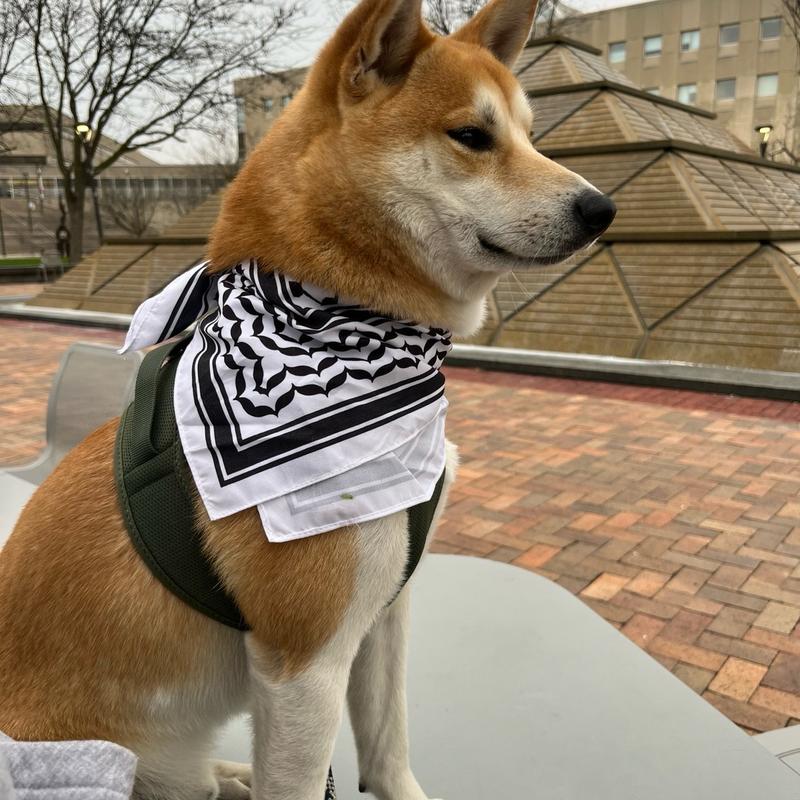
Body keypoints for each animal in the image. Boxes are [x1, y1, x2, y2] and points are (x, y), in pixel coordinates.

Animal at [0, 1, 616, 800]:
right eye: (473, 137)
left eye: (530, 136)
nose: (603, 208)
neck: (342, 324)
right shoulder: (305, 666)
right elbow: (302, 779)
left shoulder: (384, 612)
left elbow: (387, 749)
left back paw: (230, 777)